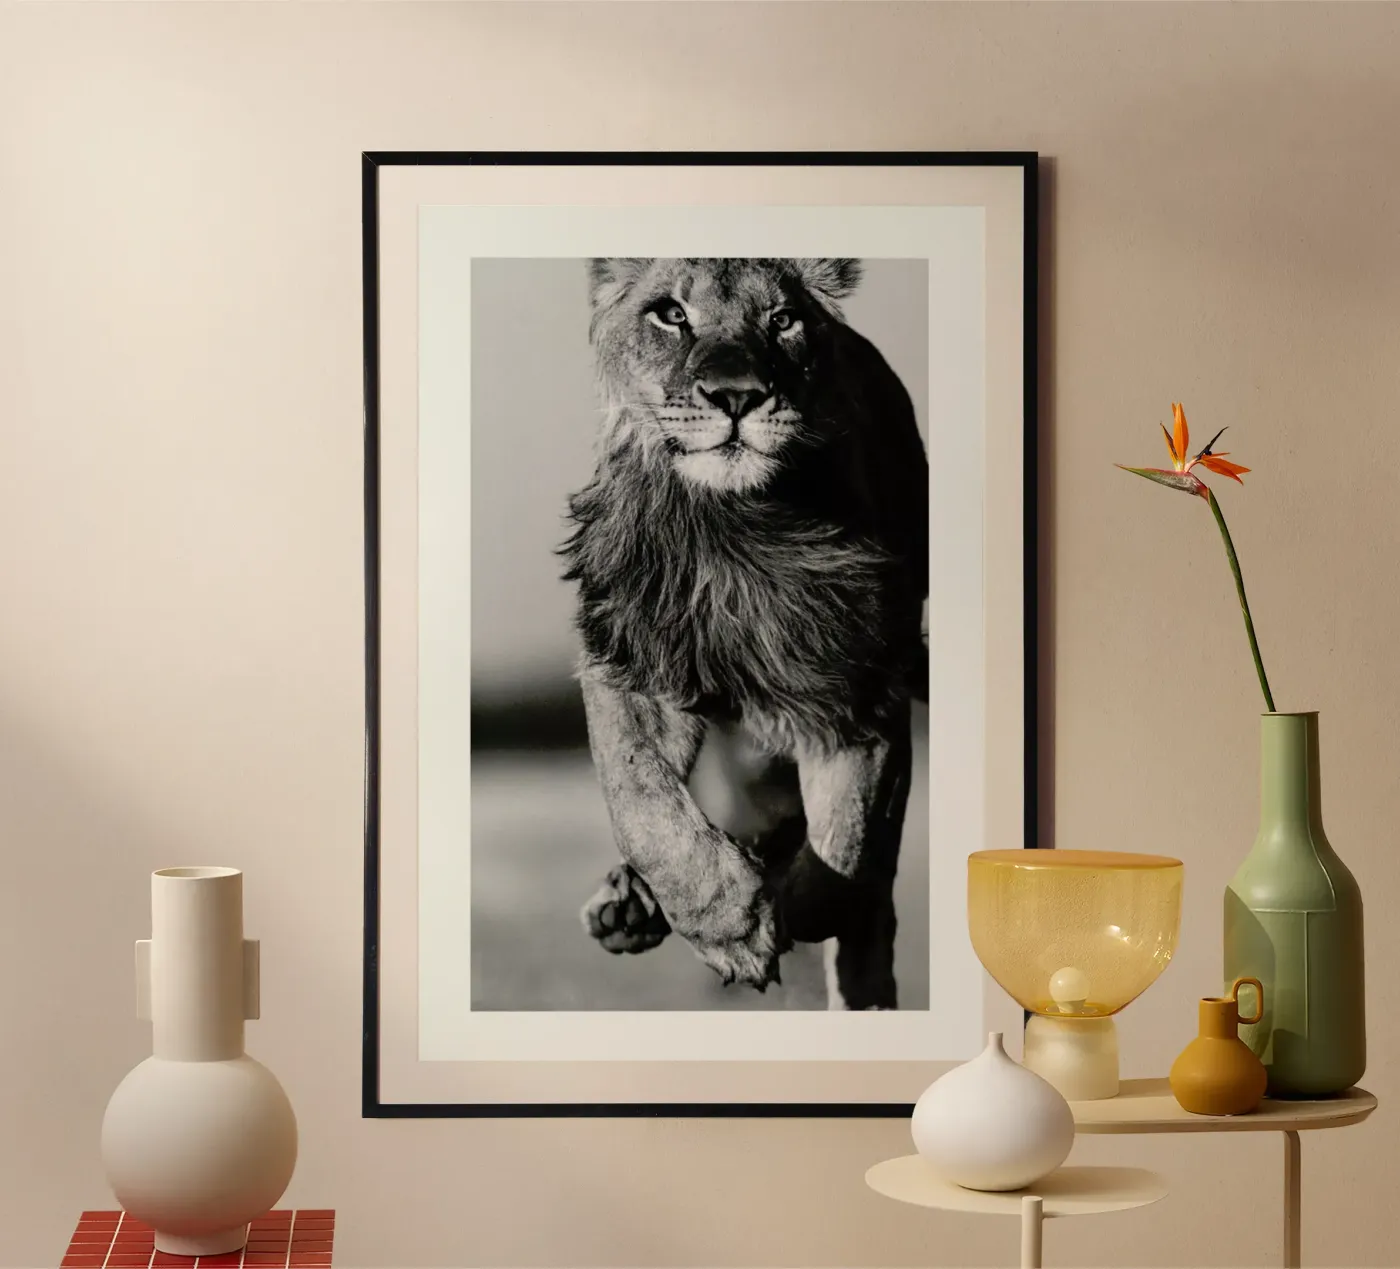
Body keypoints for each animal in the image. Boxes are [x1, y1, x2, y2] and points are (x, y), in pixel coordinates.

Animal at [560, 258, 928, 1010]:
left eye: (782, 320)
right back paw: (630, 909)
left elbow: (850, 841)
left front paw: (784, 907)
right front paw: (729, 921)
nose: (738, 396)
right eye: (671, 314)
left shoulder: (861, 687)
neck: (731, 527)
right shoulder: (628, 656)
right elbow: (641, 797)